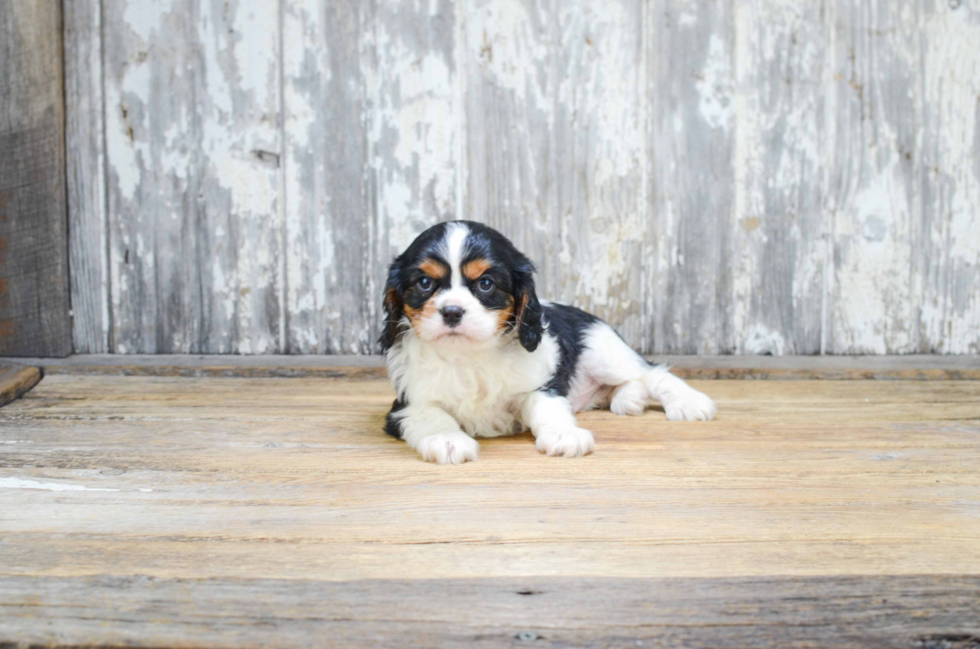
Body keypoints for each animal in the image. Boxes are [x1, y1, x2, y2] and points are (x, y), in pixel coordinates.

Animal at [380, 220, 712, 464]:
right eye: (425, 283)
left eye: (486, 284)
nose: (452, 311)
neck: (470, 354)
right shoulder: (407, 404)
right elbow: (431, 415)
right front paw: (447, 439)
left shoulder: (541, 384)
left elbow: (547, 408)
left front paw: (564, 435)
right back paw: (629, 399)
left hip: (602, 353)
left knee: (650, 372)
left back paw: (688, 402)